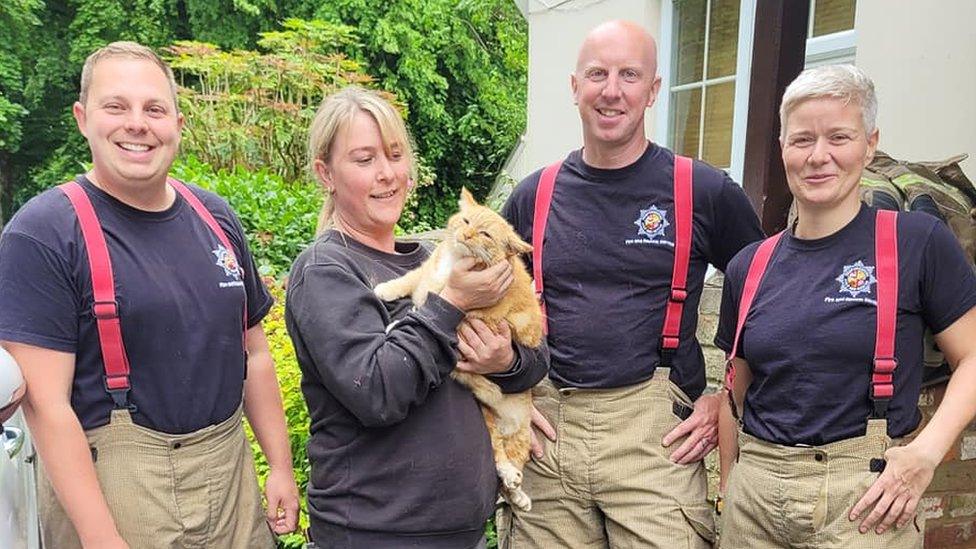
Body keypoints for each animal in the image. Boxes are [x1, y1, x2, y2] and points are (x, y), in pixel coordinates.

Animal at [372, 187, 540, 510]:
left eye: (485, 234)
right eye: (465, 220)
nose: (466, 234)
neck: (454, 266)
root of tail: (507, 425)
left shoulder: (475, 317)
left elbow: (426, 311)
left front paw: (398, 322)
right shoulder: (425, 273)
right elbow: (410, 281)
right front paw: (385, 289)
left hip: (521, 437)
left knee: (508, 466)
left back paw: (519, 491)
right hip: (489, 423)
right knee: (499, 458)